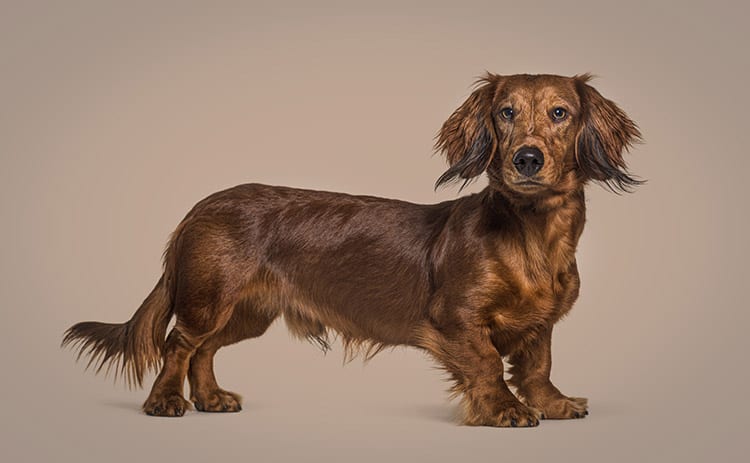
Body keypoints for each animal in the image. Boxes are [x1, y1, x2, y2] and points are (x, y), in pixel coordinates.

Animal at [63, 72, 640, 428]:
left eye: (561, 113)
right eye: (505, 113)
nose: (526, 159)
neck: (532, 236)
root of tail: (196, 209)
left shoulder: (541, 323)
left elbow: (538, 365)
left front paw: (553, 403)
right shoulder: (456, 318)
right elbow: (487, 364)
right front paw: (504, 409)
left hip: (247, 312)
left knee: (203, 350)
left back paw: (210, 399)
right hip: (208, 299)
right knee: (178, 344)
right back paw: (166, 402)